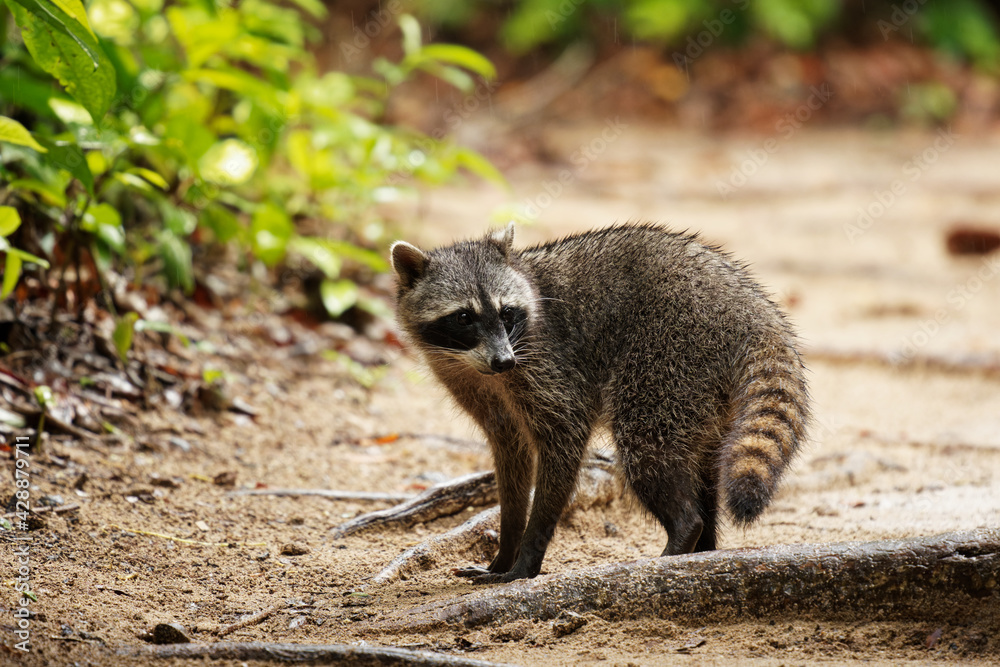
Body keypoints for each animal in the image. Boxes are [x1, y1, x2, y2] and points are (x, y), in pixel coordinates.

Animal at [390, 223, 809, 583]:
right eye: (463, 317)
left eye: (506, 313)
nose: (504, 361)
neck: (474, 364)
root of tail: (752, 309)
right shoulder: (479, 389)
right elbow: (511, 462)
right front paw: (506, 548)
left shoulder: (548, 365)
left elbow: (564, 441)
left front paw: (527, 555)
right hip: (702, 392)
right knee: (701, 467)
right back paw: (703, 548)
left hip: (668, 358)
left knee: (647, 449)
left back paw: (683, 532)